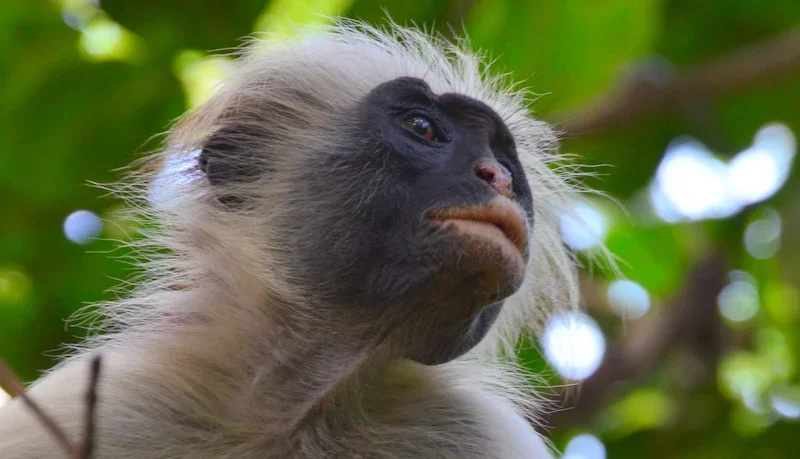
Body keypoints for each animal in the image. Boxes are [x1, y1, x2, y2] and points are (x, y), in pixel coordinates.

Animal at [0, 21, 586, 458]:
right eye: (422, 128)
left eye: (508, 166)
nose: (498, 177)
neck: (298, 407)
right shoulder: (117, 401)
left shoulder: (477, 432)